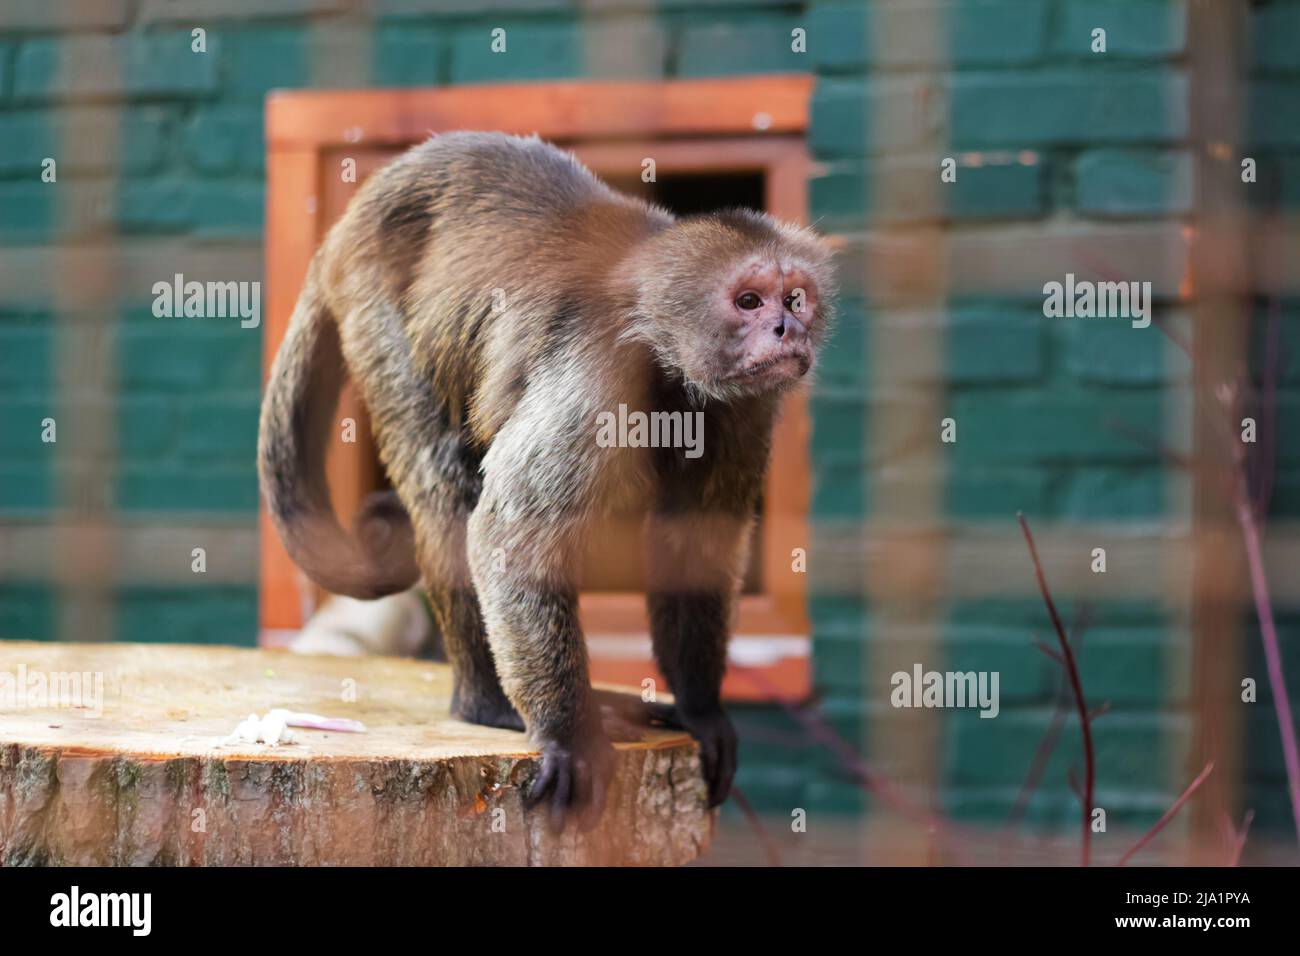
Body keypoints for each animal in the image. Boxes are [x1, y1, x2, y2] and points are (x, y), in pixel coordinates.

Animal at [258, 131, 835, 831]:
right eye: (749, 301)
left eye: (795, 299)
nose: (788, 328)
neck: (665, 362)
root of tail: (356, 217)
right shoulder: (601, 368)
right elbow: (510, 536)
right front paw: (565, 732)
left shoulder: (747, 407)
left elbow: (692, 548)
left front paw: (700, 709)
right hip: (375, 306)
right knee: (445, 482)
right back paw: (487, 705)